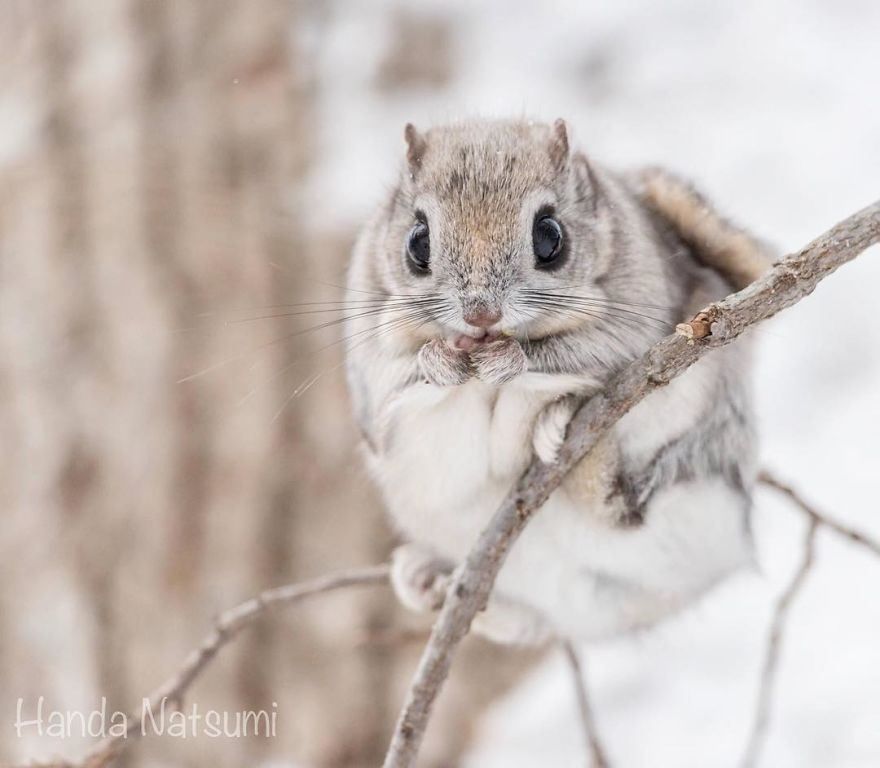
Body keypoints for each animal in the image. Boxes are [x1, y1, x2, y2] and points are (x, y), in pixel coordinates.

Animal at [345, 118, 772, 645]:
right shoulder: (374, 358)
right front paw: (439, 361)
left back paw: (569, 432)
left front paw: (512, 362)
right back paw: (424, 580)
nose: (480, 315)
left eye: (550, 237)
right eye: (416, 243)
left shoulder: (635, 317)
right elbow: (405, 386)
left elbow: (569, 354)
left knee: (621, 506)